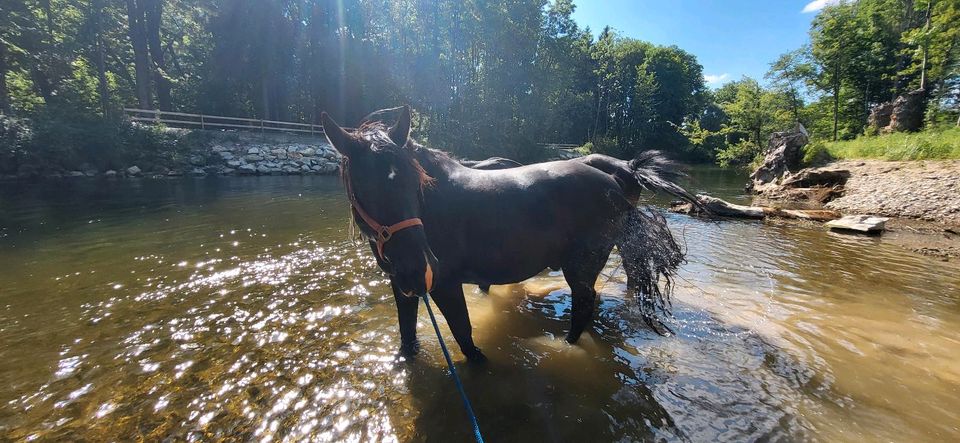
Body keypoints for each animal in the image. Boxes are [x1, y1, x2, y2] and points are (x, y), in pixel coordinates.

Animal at [322, 106, 696, 360]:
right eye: (363, 188)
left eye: (416, 183)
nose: (419, 267)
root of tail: (616, 177)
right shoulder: (402, 285)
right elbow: (407, 334)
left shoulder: (444, 284)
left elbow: (463, 334)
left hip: (582, 267)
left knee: (584, 305)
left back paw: (566, 346)